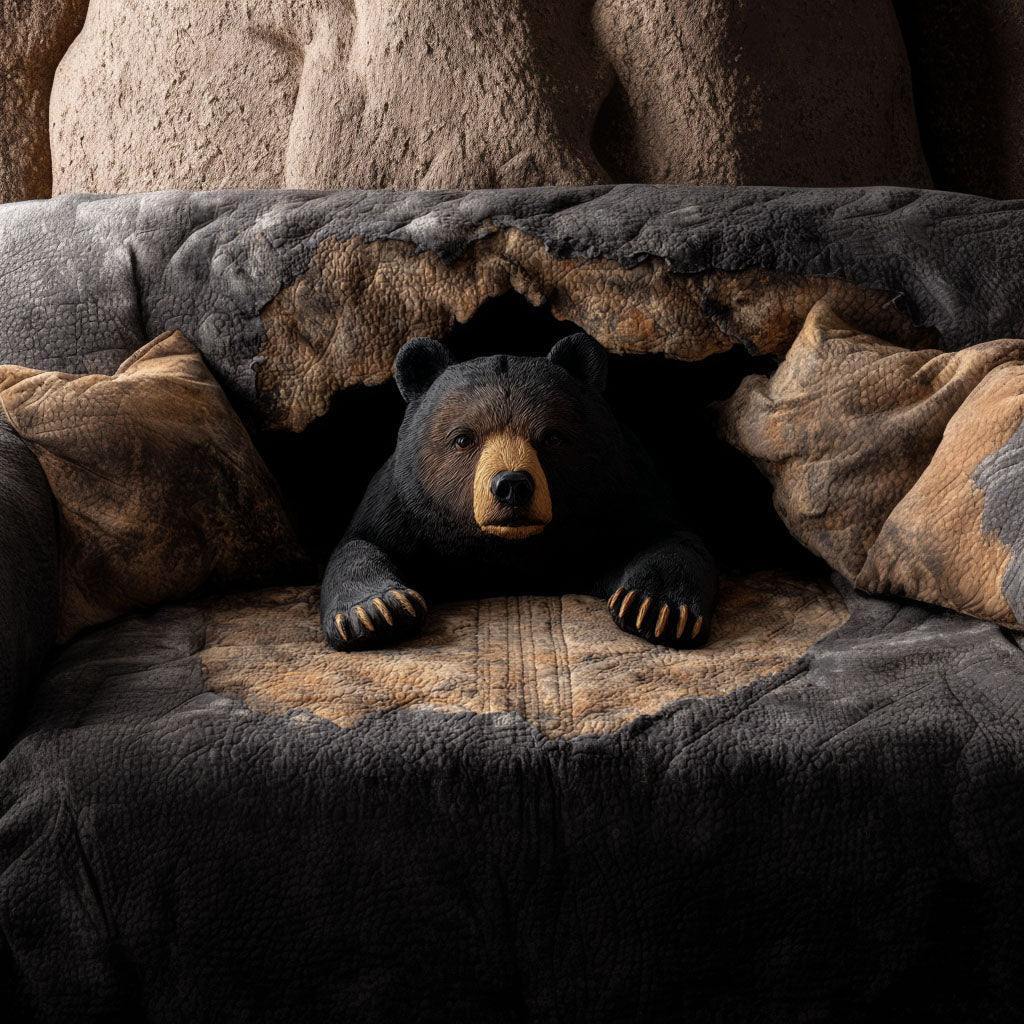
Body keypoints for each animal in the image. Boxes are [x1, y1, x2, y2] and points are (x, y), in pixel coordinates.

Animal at [320, 332, 718, 652]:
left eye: (552, 436)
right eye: (463, 438)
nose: (512, 486)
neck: (512, 548)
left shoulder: (620, 492)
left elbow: (671, 536)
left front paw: (657, 609)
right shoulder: (405, 504)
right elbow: (360, 544)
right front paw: (376, 611)